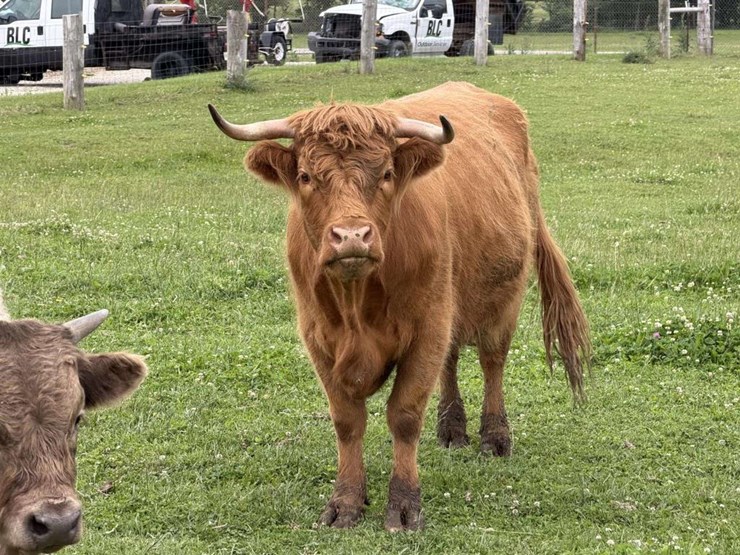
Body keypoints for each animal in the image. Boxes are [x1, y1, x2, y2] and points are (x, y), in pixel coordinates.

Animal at [209, 81, 590, 531]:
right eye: (305, 176)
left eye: (387, 174)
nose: (352, 236)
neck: (356, 305)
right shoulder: (319, 338)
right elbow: (347, 421)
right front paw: (346, 502)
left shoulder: (426, 328)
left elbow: (404, 416)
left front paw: (405, 505)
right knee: (452, 361)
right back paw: (451, 429)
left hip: (503, 297)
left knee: (492, 362)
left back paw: (494, 437)